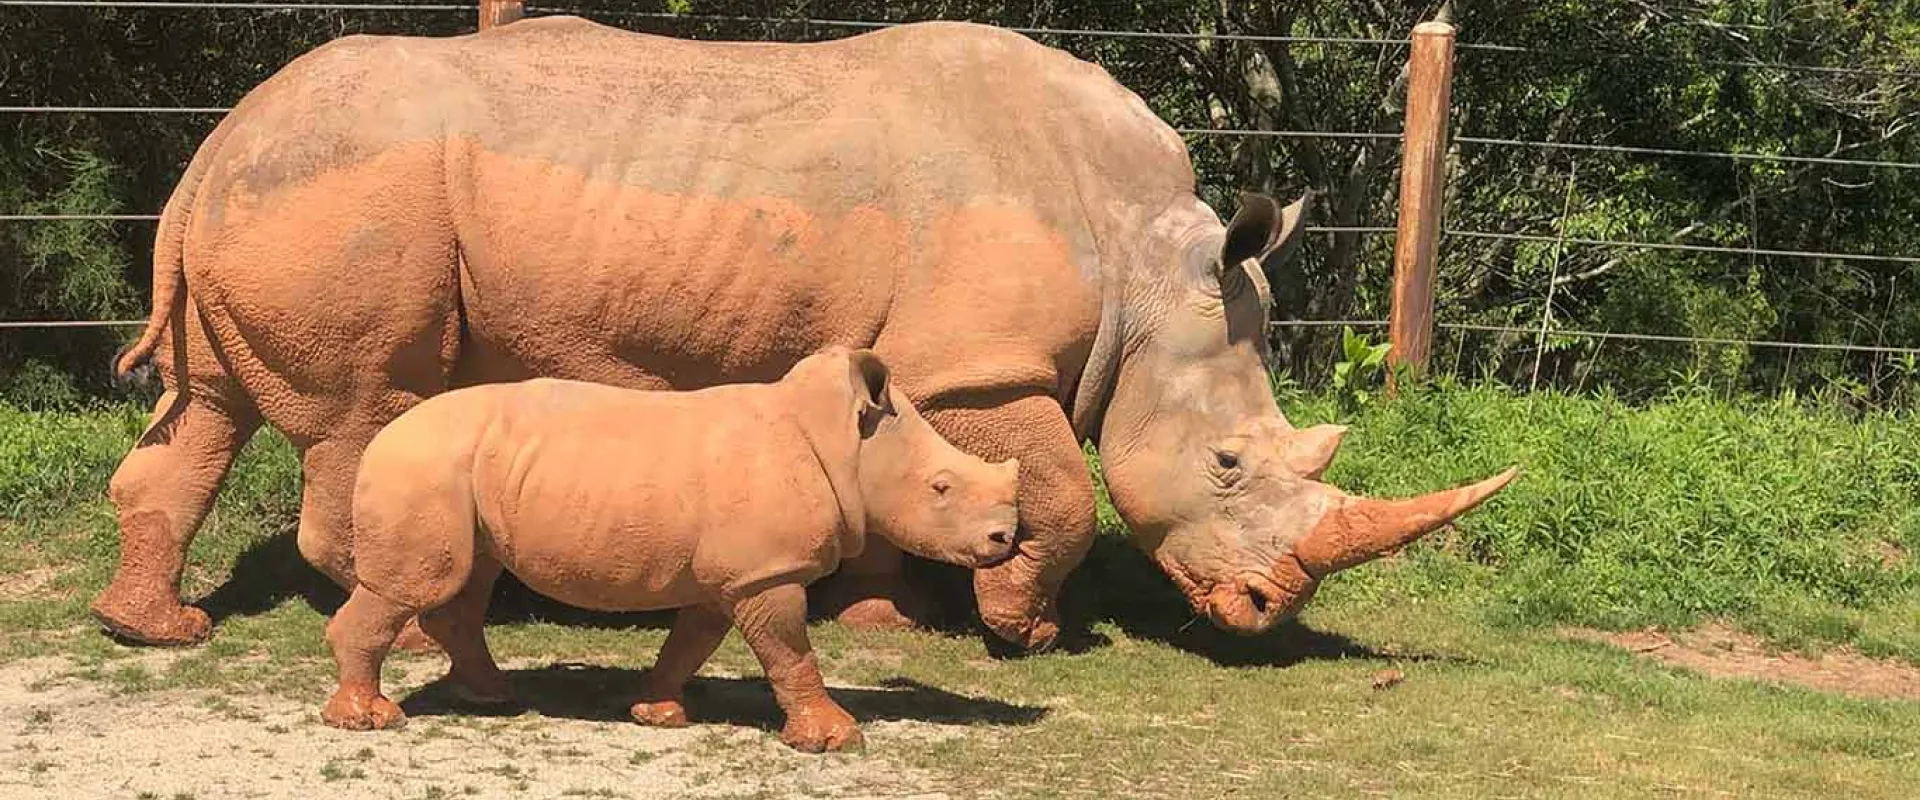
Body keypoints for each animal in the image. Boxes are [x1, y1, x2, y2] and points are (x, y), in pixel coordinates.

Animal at [94, 15, 1515, 653]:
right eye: (1227, 464)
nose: (1267, 610)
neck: (1145, 259)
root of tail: (216, 142)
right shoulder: (978, 358)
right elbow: (1057, 481)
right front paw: (1022, 629)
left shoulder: (920, 359)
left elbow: (918, 480)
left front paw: (882, 617)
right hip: (350, 197)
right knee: (366, 409)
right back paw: (432, 610)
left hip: (278, 193)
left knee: (211, 410)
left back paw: (160, 629)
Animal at [324, 347, 1017, 752]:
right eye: (941, 487)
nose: (1006, 539)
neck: (843, 441)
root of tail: (382, 434)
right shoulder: (767, 573)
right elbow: (791, 652)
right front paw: (834, 739)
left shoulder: (731, 575)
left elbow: (691, 643)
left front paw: (656, 714)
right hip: (423, 464)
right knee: (415, 586)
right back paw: (372, 721)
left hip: (460, 470)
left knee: (468, 580)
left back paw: (494, 697)